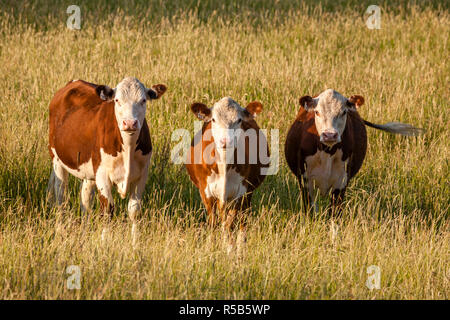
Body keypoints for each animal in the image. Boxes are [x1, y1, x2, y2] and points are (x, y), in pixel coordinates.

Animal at [47, 76, 167, 239]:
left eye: (143, 100)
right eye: (117, 100)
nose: (130, 123)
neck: (128, 148)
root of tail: (74, 82)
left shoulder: (142, 175)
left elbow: (134, 210)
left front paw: (135, 242)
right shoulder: (102, 174)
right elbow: (107, 210)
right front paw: (104, 242)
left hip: (88, 171)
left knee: (85, 200)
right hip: (57, 160)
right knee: (61, 196)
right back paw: (60, 230)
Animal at [185, 97, 268, 252]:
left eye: (239, 120)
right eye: (213, 119)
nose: (225, 141)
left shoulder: (241, 192)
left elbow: (230, 223)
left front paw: (230, 248)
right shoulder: (206, 191)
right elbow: (213, 222)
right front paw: (210, 247)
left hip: (248, 193)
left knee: (241, 220)